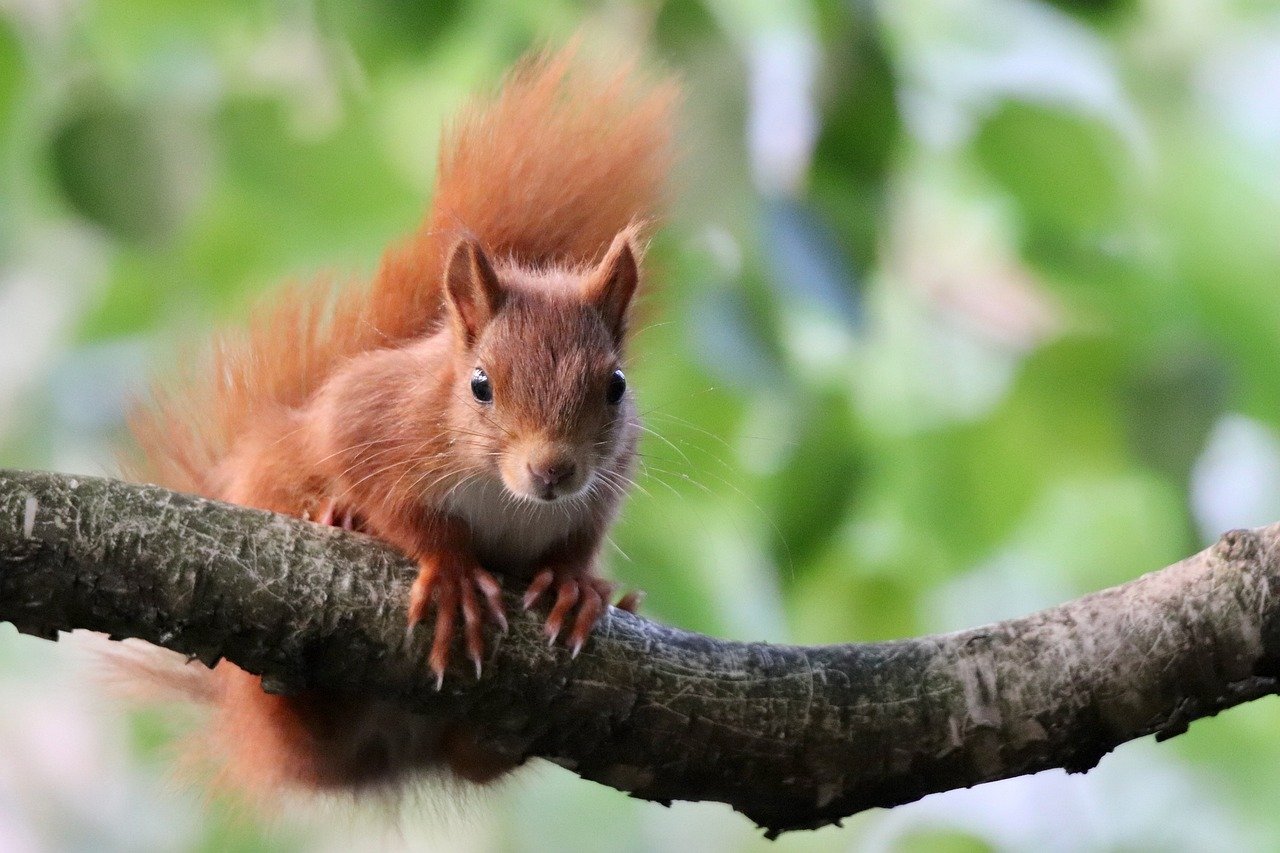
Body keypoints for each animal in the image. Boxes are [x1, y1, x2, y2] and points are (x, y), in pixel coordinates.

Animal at [124, 44, 675, 788]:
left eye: (616, 385)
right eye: (480, 385)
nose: (553, 471)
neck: (505, 497)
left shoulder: (604, 482)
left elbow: (580, 536)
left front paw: (573, 583)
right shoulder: (370, 419)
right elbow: (388, 492)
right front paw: (449, 568)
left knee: (480, 756)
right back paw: (336, 521)